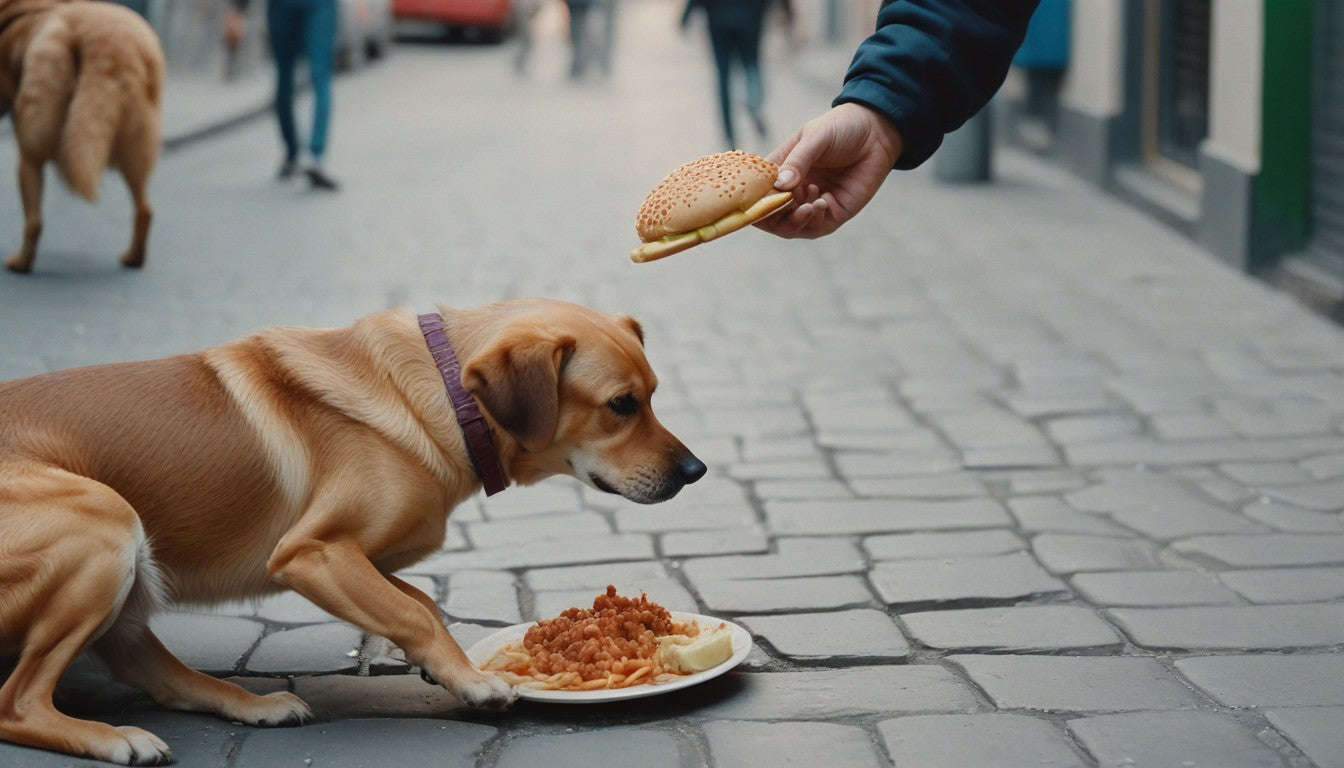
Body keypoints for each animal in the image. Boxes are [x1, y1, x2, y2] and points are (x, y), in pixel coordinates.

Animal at [0, 0, 163, 273]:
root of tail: (107, 43)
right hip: (137, 145)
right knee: (145, 209)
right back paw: (134, 258)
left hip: (31, 149)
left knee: (34, 221)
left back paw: (22, 263)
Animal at [0, 299, 709, 763]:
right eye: (621, 405)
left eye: (653, 394)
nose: (696, 471)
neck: (445, 396)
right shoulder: (310, 553)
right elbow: (415, 610)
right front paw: (472, 679)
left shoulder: (365, 558)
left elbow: (414, 601)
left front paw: (440, 665)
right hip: (108, 524)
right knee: (19, 704)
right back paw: (114, 739)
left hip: (124, 567)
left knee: (149, 669)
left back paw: (252, 705)